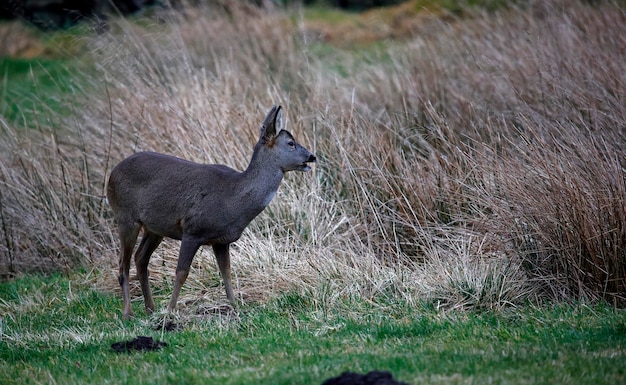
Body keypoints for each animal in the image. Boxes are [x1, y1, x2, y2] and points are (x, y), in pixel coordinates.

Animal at [105, 106, 316, 318]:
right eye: (291, 143)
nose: (312, 156)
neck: (233, 200)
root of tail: (112, 173)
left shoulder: (221, 241)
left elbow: (227, 272)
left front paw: (235, 306)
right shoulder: (192, 230)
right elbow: (182, 273)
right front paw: (171, 310)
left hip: (155, 228)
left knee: (140, 258)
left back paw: (150, 309)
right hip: (125, 216)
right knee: (123, 264)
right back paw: (128, 313)